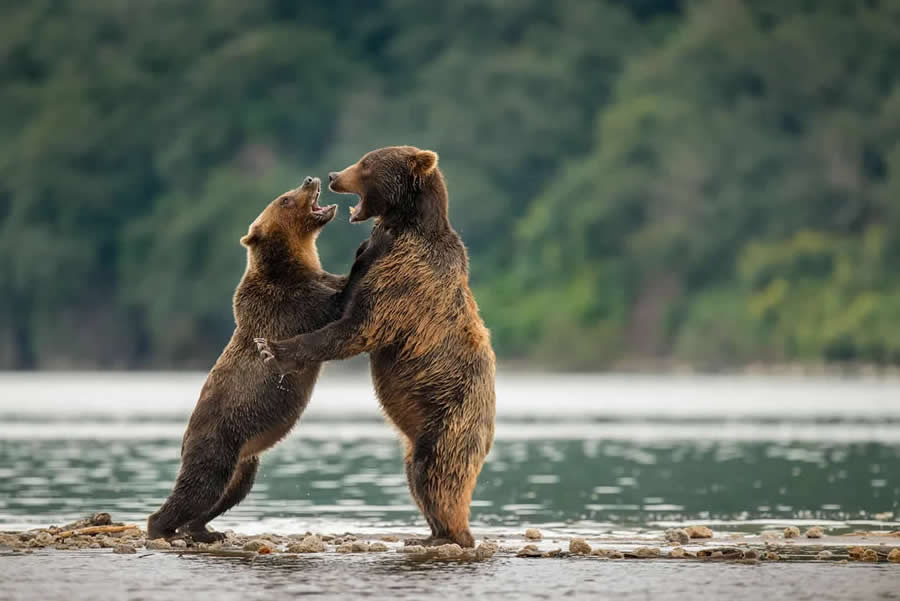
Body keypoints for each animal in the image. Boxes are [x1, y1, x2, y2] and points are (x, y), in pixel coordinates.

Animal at [146, 176, 346, 540]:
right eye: (284, 199)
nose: (310, 179)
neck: (293, 263)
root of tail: (185, 437)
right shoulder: (285, 303)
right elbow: (328, 302)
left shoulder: (309, 279)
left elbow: (332, 284)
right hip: (217, 442)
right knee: (199, 489)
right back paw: (163, 528)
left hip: (245, 462)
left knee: (228, 494)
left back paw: (205, 530)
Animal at [255, 145, 500, 548]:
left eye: (367, 162)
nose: (334, 175)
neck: (403, 225)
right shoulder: (381, 258)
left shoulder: (406, 277)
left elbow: (359, 328)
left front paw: (273, 349)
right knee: (416, 477)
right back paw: (428, 535)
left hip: (450, 424)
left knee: (437, 477)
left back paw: (448, 534)